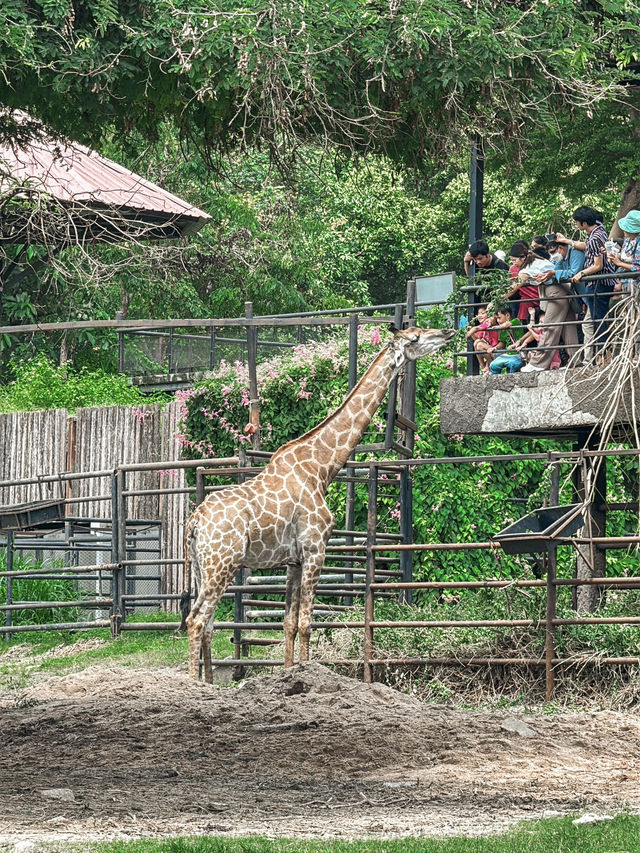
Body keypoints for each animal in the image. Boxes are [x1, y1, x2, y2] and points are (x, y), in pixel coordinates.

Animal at [180, 322, 452, 684]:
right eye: (416, 337)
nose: (448, 333)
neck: (322, 467)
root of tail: (194, 522)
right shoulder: (315, 548)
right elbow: (308, 622)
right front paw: (309, 676)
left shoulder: (293, 560)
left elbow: (288, 623)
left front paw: (288, 675)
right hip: (222, 564)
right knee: (197, 619)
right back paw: (194, 684)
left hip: (202, 567)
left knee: (206, 623)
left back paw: (208, 683)